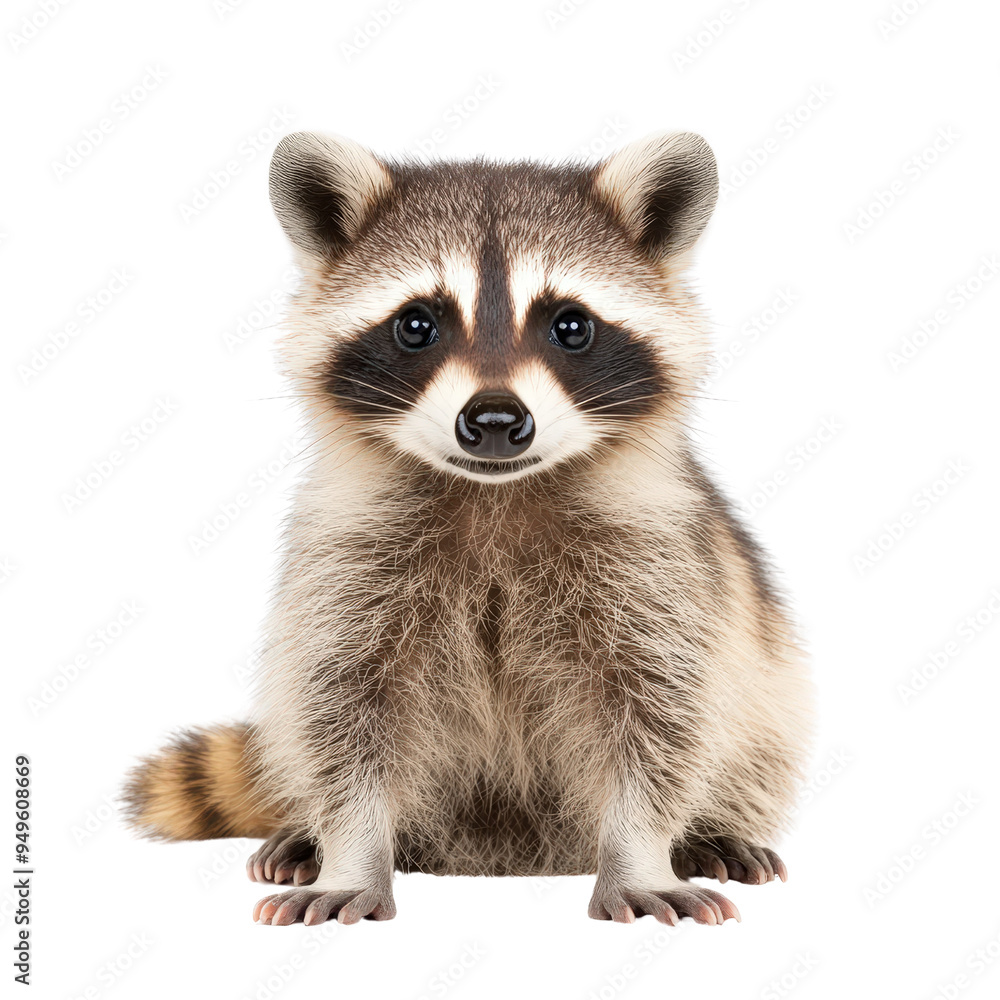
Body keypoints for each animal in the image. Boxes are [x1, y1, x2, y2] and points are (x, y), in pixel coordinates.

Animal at [123, 130, 813, 927]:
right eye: (417, 324)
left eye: (570, 325)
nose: (494, 419)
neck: (494, 494)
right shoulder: (350, 555)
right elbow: (340, 707)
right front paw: (350, 852)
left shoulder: (657, 560)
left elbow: (661, 709)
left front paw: (642, 852)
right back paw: (305, 835)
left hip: (765, 693)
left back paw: (711, 832)